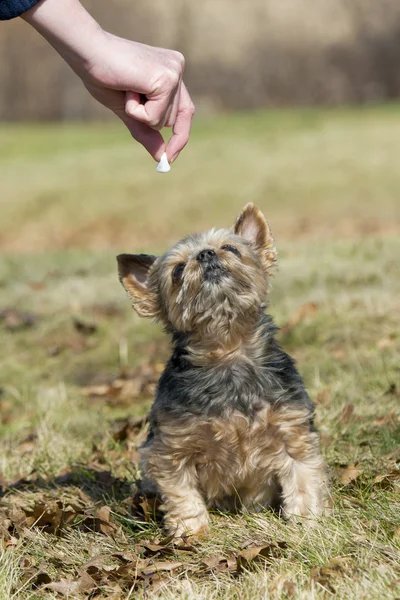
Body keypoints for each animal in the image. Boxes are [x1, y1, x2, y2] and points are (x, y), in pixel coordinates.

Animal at [117, 204, 326, 536]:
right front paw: (190, 530)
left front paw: (306, 522)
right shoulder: (172, 447)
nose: (206, 254)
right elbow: (181, 490)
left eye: (230, 248)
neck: (227, 351)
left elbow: (302, 475)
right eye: (177, 271)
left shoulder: (292, 429)